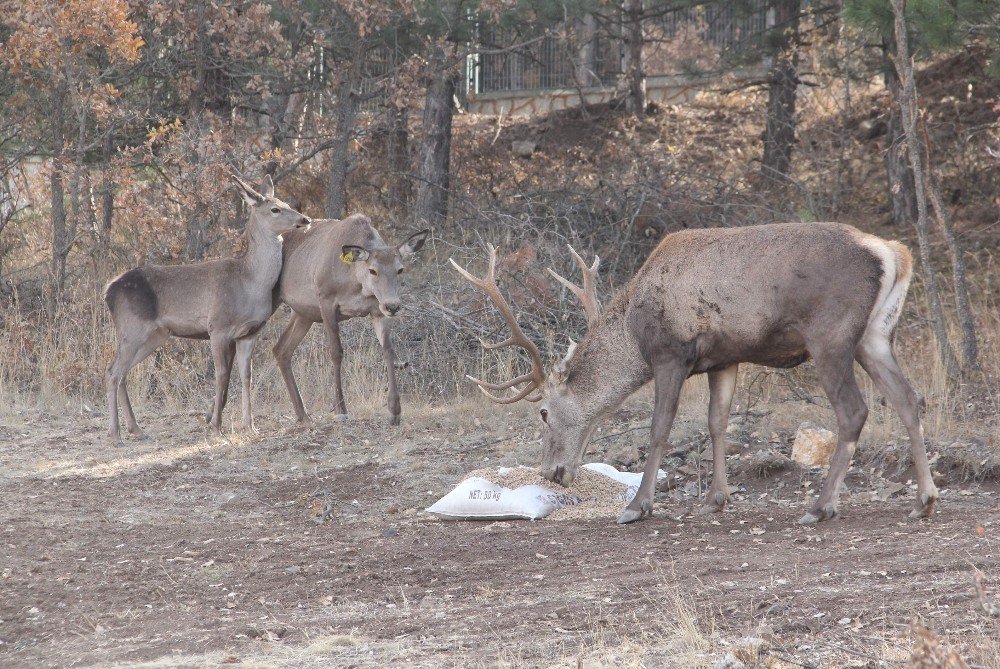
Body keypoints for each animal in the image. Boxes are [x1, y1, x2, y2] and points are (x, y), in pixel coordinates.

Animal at [104, 176, 310, 444]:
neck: (250, 283)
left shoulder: (250, 333)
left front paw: (250, 425)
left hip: (154, 335)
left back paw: (136, 429)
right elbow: (221, 375)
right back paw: (115, 433)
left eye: (286, 202)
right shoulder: (218, 327)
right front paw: (216, 426)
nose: (304, 219)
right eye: (275, 209)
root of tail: (109, 291)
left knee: (122, 373)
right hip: (133, 328)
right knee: (112, 372)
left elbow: (246, 376)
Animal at [272, 214, 428, 422]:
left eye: (400, 269)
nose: (393, 306)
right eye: (373, 270)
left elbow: (388, 350)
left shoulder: (377, 309)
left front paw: (395, 409)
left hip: (303, 313)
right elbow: (336, 352)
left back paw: (303, 414)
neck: (355, 282)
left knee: (281, 349)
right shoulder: (326, 300)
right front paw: (340, 409)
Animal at [454, 222, 936, 524]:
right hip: (876, 335)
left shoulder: (671, 355)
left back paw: (821, 507)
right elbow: (717, 422)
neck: (633, 332)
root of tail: (894, 254)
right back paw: (924, 500)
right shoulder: (724, 359)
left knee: (854, 411)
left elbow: (660, 428)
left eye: (543, 413)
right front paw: (715, 500)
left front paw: (638, 506)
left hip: (831, 335)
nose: (551, 471)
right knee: (909, 398)